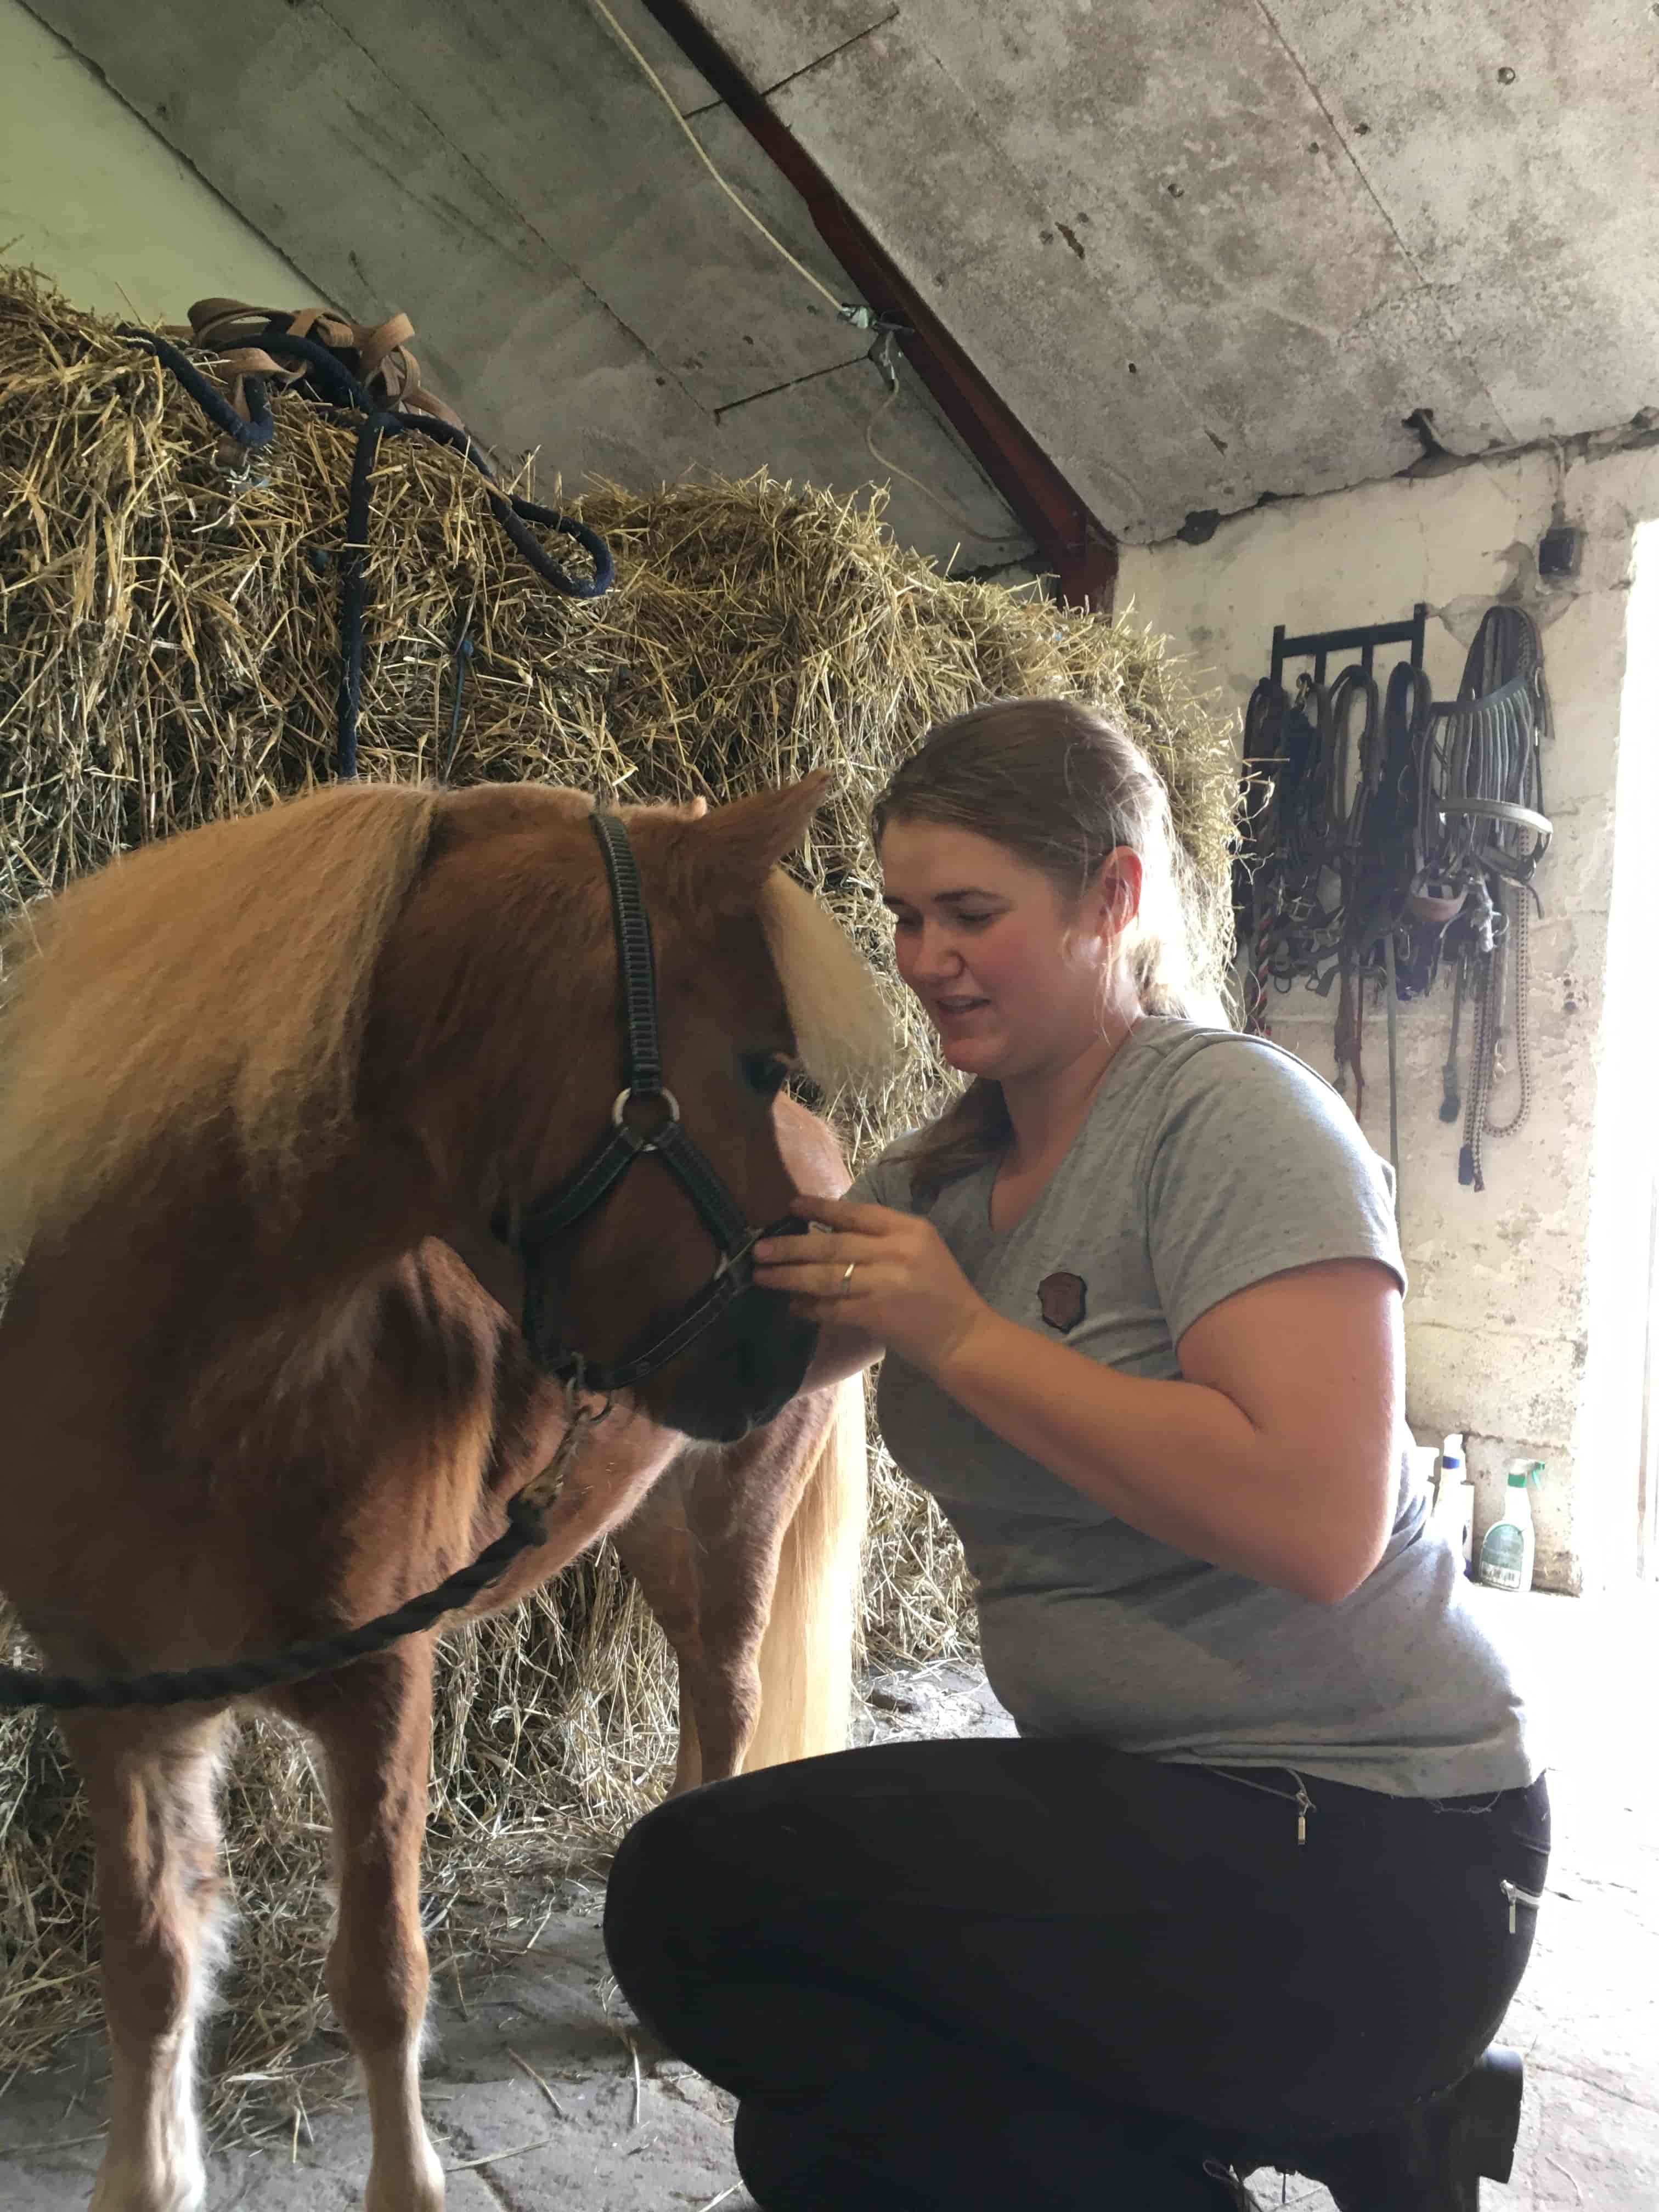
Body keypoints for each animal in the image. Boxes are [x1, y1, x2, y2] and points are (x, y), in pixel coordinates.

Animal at [0, 771, 888, 2212]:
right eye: (761, 1060)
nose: (789, 1344)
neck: (193, 1379)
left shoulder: (384, 1696)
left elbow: (381, 1982)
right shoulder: (123, 1706)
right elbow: (150, 1969)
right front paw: (151, 2176)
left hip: (735, 1513)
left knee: (730, 1692)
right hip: (645, 1530)